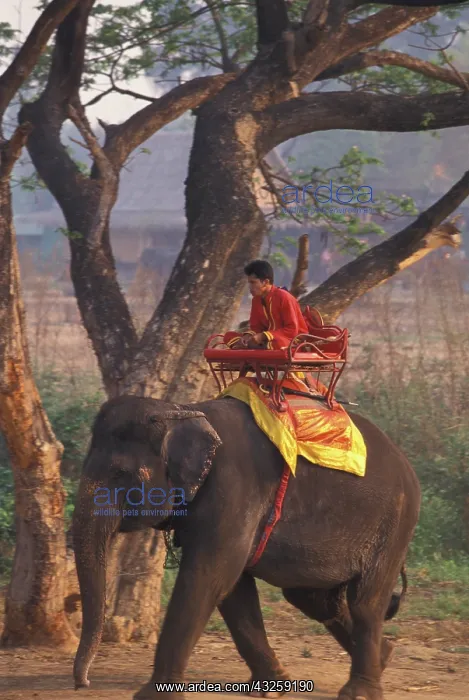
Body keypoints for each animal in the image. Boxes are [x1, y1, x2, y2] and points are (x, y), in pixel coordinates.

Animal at [72, 393, 420, 700]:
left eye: (120, 474)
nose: (83, 683)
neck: (184, 409)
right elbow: (233, 589)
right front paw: (272, 688)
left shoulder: (234, 489)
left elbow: (206, 577)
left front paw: (152, 696)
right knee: (314, 600)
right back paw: (385, 656)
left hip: (395, 524)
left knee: (365, 603)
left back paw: (360, 691)